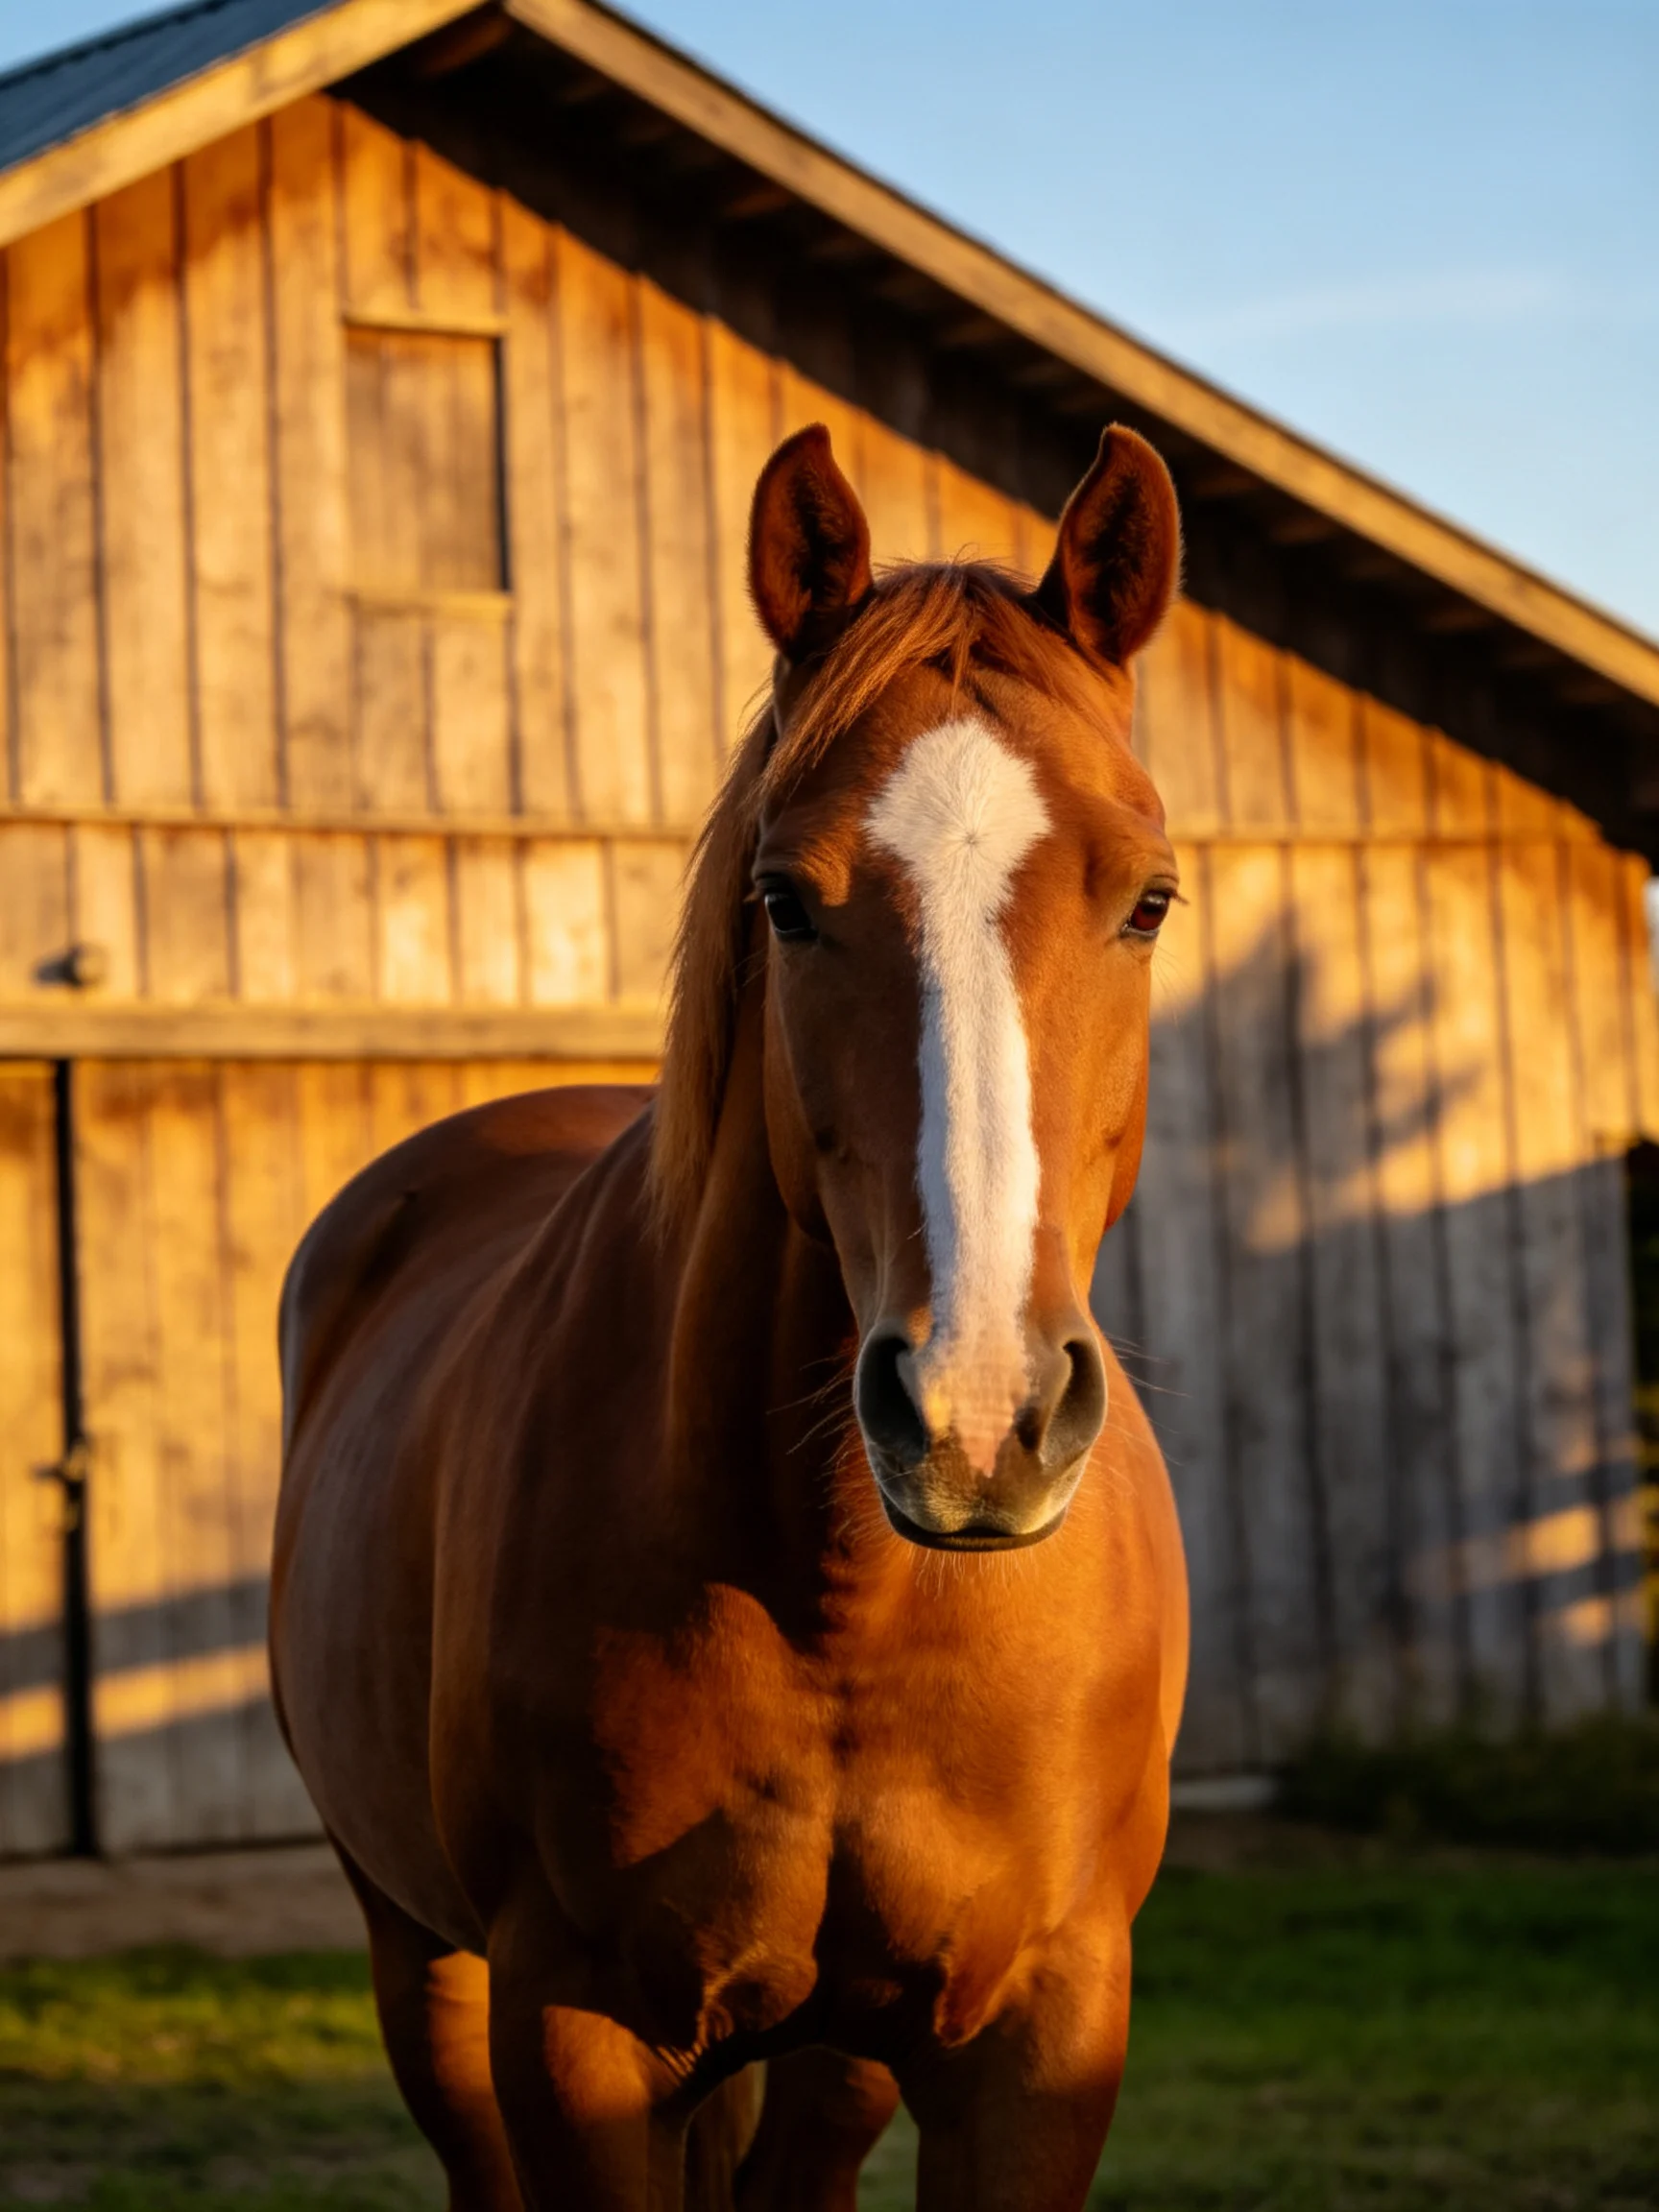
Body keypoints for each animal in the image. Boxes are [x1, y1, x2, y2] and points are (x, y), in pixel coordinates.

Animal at [270, 420, 1190, 2211]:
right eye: (784, 898)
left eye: (1146, 901)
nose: (977, 1415)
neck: (842, 1599)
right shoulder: (576, 2036)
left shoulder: (1039, 2040)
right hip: (419, 1956)